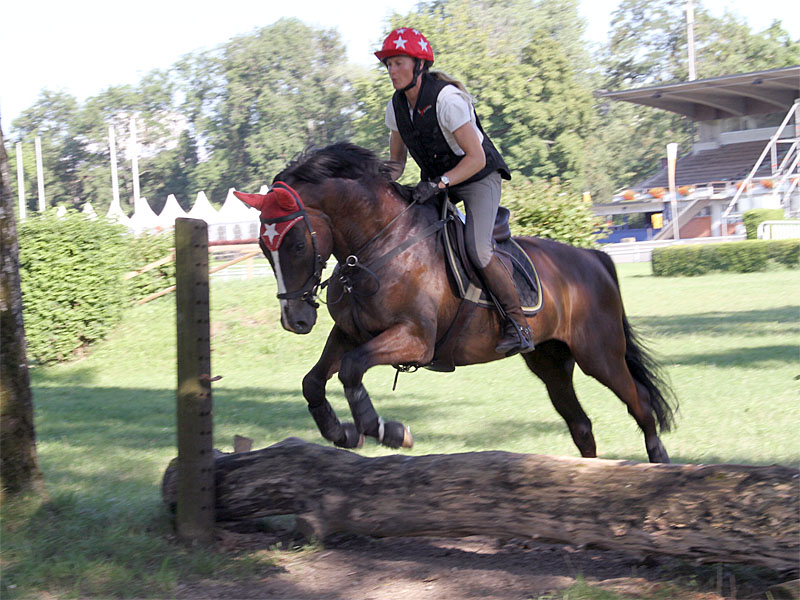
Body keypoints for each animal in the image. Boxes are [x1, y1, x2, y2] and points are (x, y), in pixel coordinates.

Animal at [234, 142, 676, 463]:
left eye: (294, 244)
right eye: (262, 246)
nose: (295, 319)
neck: (377, 247)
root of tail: (592, 257)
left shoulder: (414, 340)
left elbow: (352, 370)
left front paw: (387, 431)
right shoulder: (349, 334)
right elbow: (314, 381)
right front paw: (340, 432)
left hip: (598, 354)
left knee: (640, 405)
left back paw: (659, 463)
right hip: (550, 361)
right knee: (581, 425)